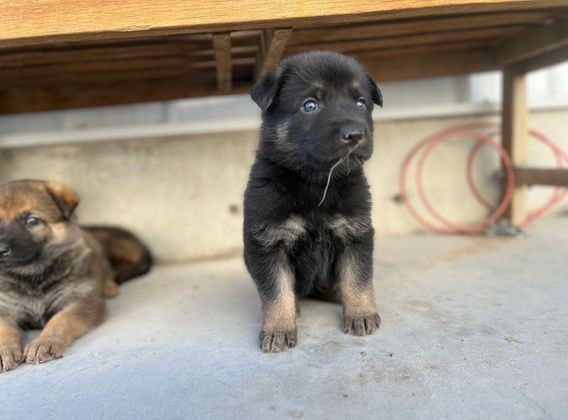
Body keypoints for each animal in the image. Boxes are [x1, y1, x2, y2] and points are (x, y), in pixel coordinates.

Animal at [0, 179, 152, 372]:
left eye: (31, 221)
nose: (1, 249)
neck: (31, 274)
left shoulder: (80, 300)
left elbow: (60, 320)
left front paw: (43, 342)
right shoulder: (4, 308)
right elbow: (3, 331)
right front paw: (4, 351)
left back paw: (109, 286)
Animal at [244, 51, 383, 353]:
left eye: (361, 103)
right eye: (310, 105)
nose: (355, 134)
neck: (316, 184)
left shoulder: (356, 234)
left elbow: (358, 278)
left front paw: (361, 314)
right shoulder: (269, 244)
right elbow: (276, 291)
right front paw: (279, 329)